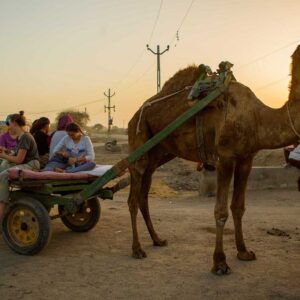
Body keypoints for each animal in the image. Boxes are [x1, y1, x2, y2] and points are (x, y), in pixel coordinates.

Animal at [126, 45, 300, 274]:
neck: (257, 117)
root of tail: (133, 117)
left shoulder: (246, 159)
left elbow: (238, 207)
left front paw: (244, 252)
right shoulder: (225, 156)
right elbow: (220, 211)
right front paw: (220, 262)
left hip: (157, 153)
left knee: (144, 195)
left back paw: (157, 239)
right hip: (138, 139)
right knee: (133, 196)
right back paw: (137, 249)